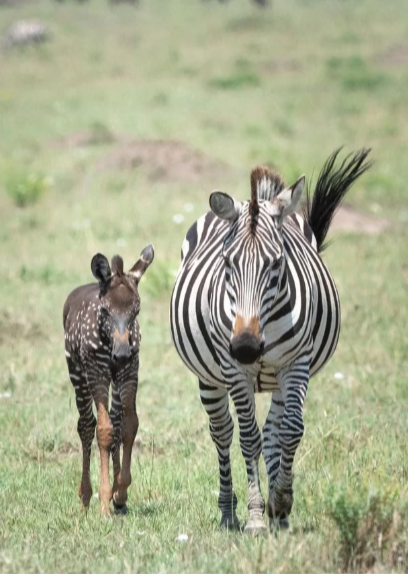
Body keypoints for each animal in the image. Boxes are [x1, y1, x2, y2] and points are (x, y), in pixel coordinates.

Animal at [63, 245, 154, 516]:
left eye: (136, 311)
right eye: (105, 310)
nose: (121, 354)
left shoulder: (129, 373)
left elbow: (128, 426)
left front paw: (120, 492)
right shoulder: (98, 373)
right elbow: (103, 430)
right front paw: (104, 502)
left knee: (115, 419)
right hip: (77, 374)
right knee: (86, 425)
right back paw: (85, 496)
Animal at [169, 150, 370, 536]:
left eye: (277, 263)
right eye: (227, 263)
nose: (247, 347)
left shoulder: (296, 363)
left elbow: (291, 430)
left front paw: (281, 502)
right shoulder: (234, 369)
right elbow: (248, 438)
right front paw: (255, 516)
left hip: (278, 377)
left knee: (276, 430)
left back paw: (280, 513)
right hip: (210, 378)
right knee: (223, 432)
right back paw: (228, 512)